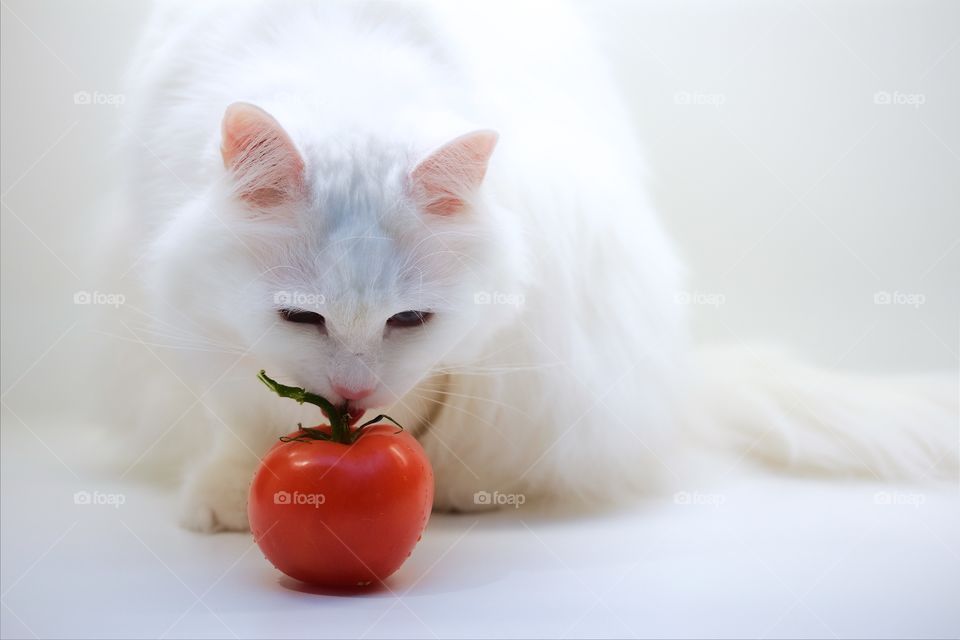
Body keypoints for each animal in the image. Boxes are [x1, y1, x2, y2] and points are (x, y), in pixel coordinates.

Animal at [101, 0, 956, 528]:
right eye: (300, 316)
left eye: (410, 319)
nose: (352, 394)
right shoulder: (199, 319)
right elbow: (244, 416)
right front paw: (228, 491)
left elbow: (419, 400)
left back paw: (463, 493)